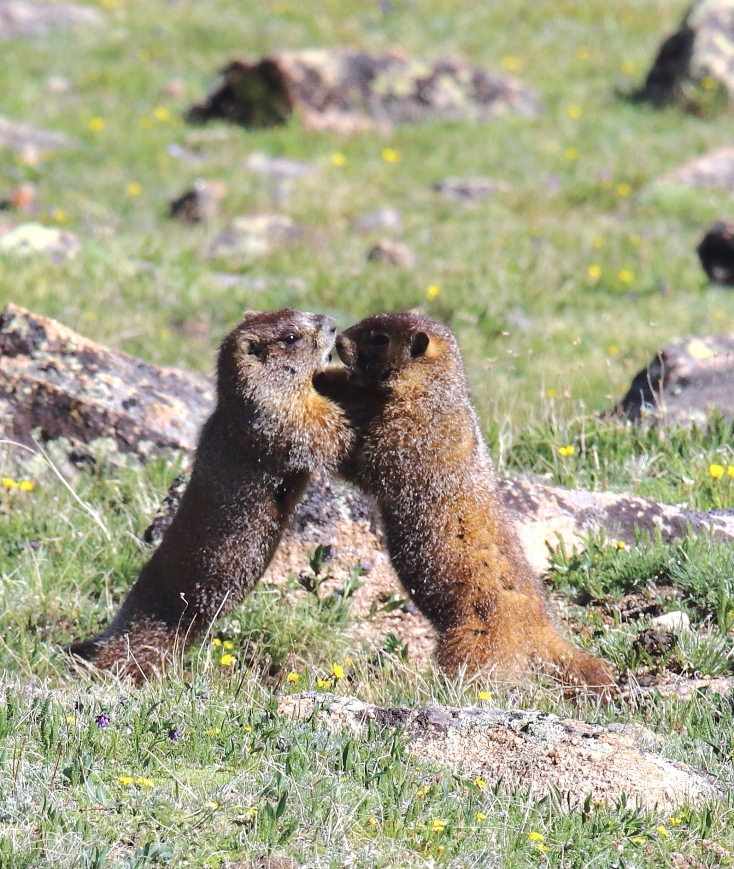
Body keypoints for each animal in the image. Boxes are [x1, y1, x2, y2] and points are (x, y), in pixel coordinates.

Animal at [314, 312, 615, 694]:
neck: (432, 388)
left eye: (380, 338)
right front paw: (321, 375)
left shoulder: (413, 426)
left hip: (473, 638)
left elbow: (373, 460)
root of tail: (544, 633)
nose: (339, 341)